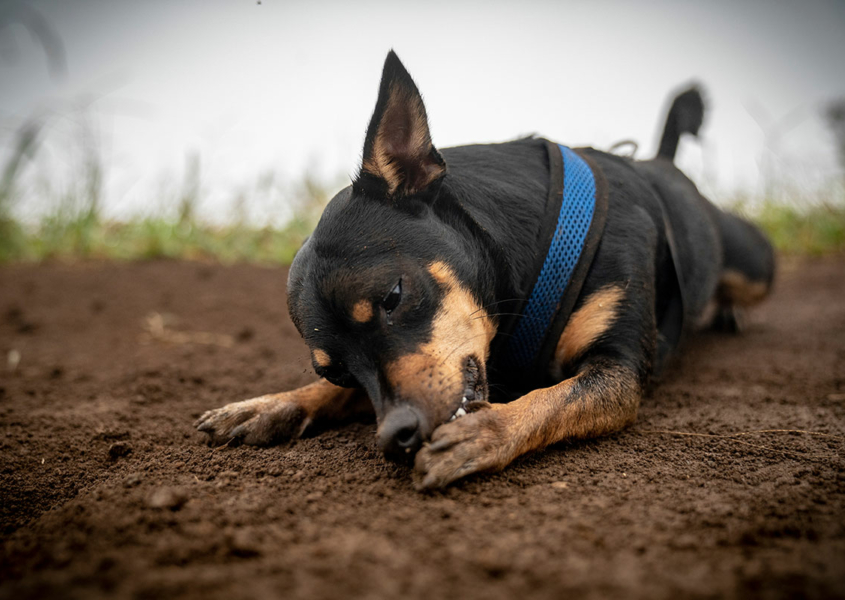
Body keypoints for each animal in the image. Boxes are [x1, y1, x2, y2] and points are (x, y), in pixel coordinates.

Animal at [195, 51, 776, 490]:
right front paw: (272, 403)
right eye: (333, 371)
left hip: (755, 265)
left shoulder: (619, 370)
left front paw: (488, 431)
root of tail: (660, 162)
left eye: (393, 297)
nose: (394, 436)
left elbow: (548, 399)